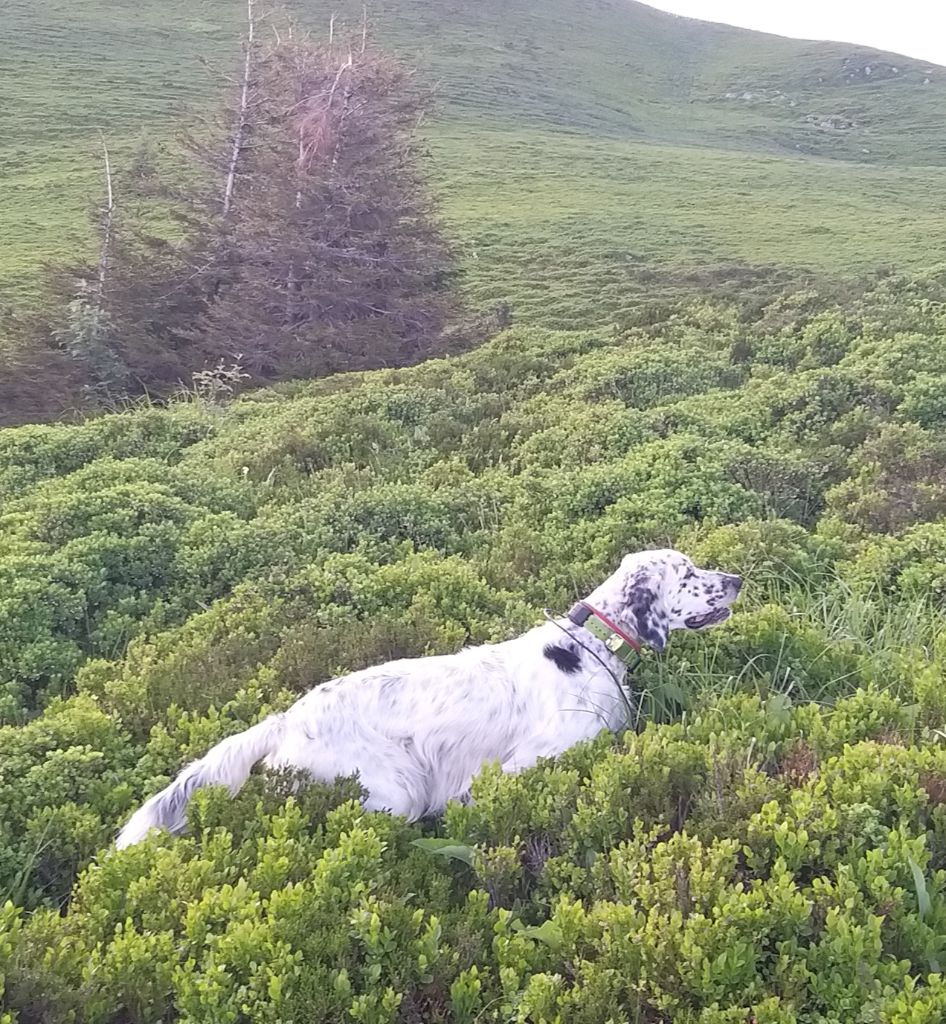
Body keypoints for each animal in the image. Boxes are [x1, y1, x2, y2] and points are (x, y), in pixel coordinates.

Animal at [116, 552, 737, 847]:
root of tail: (287, 720)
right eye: (686, 573)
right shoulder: (525, 764)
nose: (735, 579)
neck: (589, 647)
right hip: (394, 791)